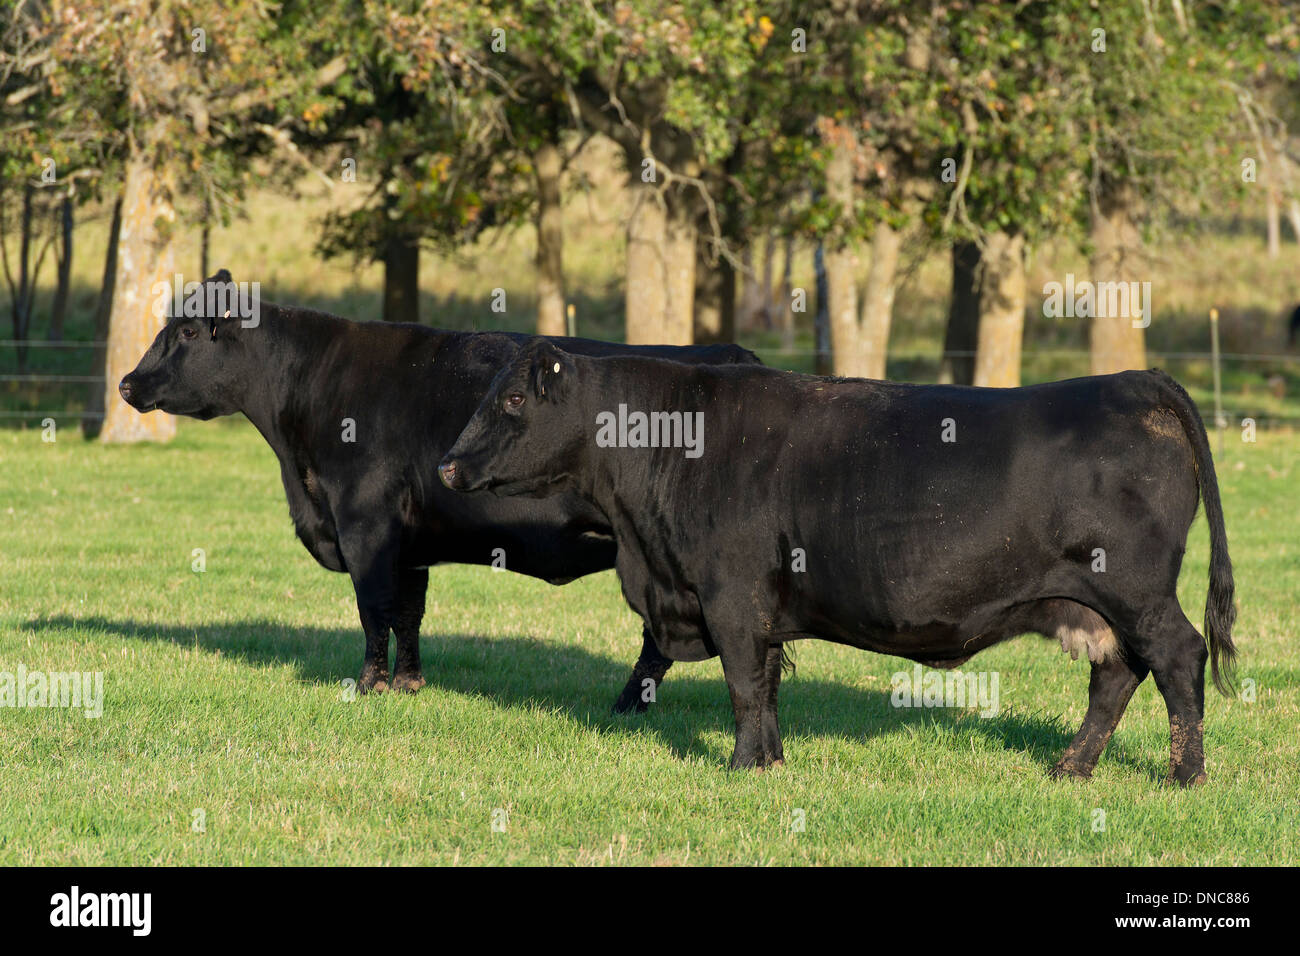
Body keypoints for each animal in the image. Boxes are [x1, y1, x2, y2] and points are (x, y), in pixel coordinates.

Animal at [118, 271, 758, 706]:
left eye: (189, 330)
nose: (126, 383)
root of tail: (738, 355)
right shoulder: (410, 541)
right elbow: (408, 613)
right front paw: (407, 683)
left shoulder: (365, 523)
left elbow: (373, 608)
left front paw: (368, 685)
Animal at [439, 338, 1238, 786]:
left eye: (514, 399)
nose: (446, 466)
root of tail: (1133, 380)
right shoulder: (755, 608)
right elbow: (765, 686)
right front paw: (769, 764)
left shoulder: (731, 599)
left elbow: (744, 686)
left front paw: (740, 768)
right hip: (1099, 605)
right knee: (1118, 675)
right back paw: (1071, 769)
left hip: (1135, 591)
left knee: (1177, 657)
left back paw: (1186, 775)